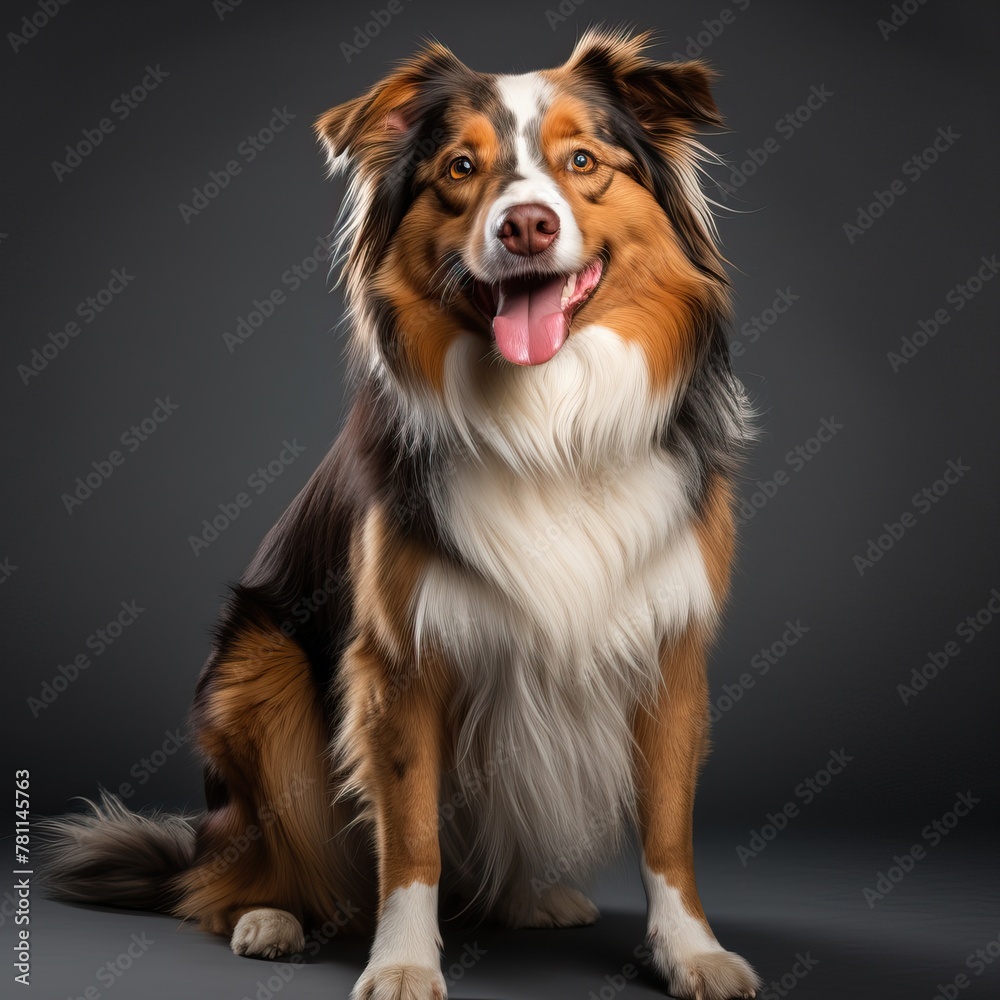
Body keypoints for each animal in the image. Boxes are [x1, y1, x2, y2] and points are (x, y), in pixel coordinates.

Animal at [41, 27, 756, 996]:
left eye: (582, 162)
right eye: (461, 168)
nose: (524, 225)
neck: (549, 423)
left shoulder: (669, 643)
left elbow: (668, 830)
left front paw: (692, 951)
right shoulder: (398, 659)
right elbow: (410, 837)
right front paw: (404, 964)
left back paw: (528, 896)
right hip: (259, 675)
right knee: (236, 873)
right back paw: (269, 916)